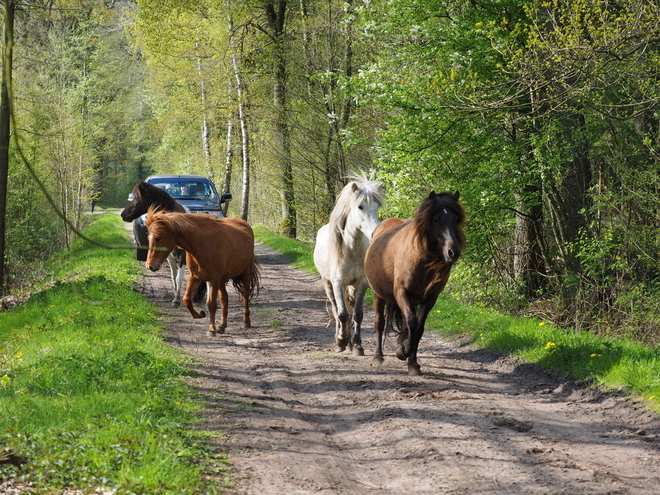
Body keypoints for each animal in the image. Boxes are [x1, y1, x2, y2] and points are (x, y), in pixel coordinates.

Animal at [144, 209, 260, 338]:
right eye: (148, 237)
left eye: (159, 238)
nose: (150, 265)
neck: (203, 244)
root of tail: (245, 225)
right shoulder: (195, 276)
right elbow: (187, 300)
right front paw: (200, 314)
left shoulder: (214, 278)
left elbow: (212, 304)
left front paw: (211, 329)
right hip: (221, 280)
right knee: (224, 298)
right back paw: (222, 325)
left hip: (245, 274)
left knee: (245, 295)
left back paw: (246, 321)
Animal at [314, 176, 384, 354]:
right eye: (360, 206)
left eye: (376, 206)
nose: (375, 233)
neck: (351, 249)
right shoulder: (338, 283)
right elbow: (342, 314)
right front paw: (341, 340)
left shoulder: (362, 283)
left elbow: (357, 314)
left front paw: (358, 345)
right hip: (328, 283)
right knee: (336, 310)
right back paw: (340, 339)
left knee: (351, 311)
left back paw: (351, 344)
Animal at [366, 191, 464, 376]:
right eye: (436, 219)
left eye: (455, 219)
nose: (453, 252)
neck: (421, 260)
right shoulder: (402, 293)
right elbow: (412, 323)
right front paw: (403, 351)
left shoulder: (430, 299)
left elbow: (418, 329)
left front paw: (412, 362)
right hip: (378, 295)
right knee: (379, 322)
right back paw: (378, 357)